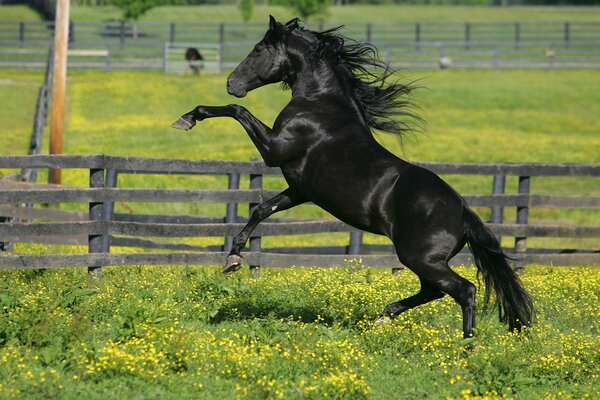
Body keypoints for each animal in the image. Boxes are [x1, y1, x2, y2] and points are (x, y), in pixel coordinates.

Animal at [173, 16, 536, 338]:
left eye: (259, 48)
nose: (231, 83)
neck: (320, 104)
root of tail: (463, 211)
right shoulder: (300, 189)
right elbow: (261, 209)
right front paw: (233, 257)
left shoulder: (274, 149)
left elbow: (237, 112)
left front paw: (188, 118)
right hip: (424, 260)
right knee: (433, 291)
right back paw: (385, 316)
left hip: (420, 257)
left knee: (464, 290)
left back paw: (467, 346)